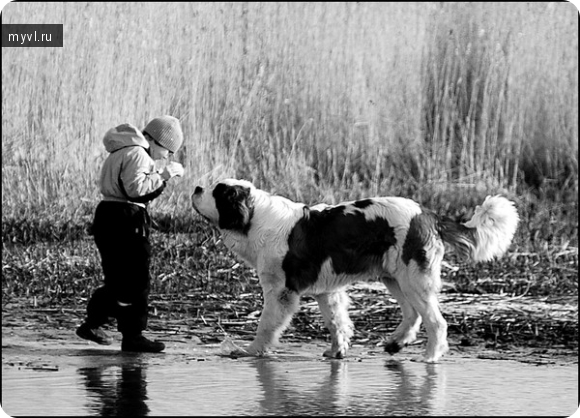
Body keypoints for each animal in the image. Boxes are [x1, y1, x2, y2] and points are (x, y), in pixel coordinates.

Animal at [193, 180, 520, 362]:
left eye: (217, 191)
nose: (196, 188)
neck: (256, 219)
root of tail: (428, 214)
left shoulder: (280, 292)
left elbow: (266, 325)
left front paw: (252, 351)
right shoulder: (327, 291)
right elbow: (337, 322)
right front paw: (337, 352)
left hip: (414, 279)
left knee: (436, 322)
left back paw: (430, 357)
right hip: (395, 278)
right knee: (412, 314)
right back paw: (395, 343)